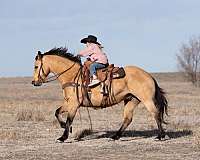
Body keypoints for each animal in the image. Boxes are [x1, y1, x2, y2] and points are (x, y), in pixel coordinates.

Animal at [31, 47, 169, 142]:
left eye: (36, 66)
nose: (34, 82)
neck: (72, 76)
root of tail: (149, 75)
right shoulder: (68, 103)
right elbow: (57, 112)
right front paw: (65, 127)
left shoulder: (74, 104)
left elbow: (69, 119)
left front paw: (63, 137)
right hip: (131, 100)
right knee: (127, 119)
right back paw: (115, 136)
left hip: (146, 100)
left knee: (155, 114)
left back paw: (160, 136)